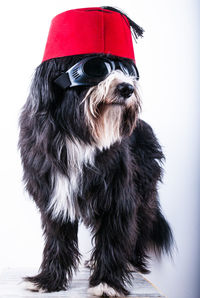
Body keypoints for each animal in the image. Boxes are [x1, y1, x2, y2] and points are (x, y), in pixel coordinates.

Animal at [18, 5, 173, 296]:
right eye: (96, 67)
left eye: (128, 70)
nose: (128, 88)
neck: (77, 132)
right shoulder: (53, 194)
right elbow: (57, 239)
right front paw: (48, 279)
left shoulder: (118, 194)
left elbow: (114, 236)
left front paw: (107, 282)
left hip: (143, 191)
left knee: (138, 227)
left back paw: (131, 261)